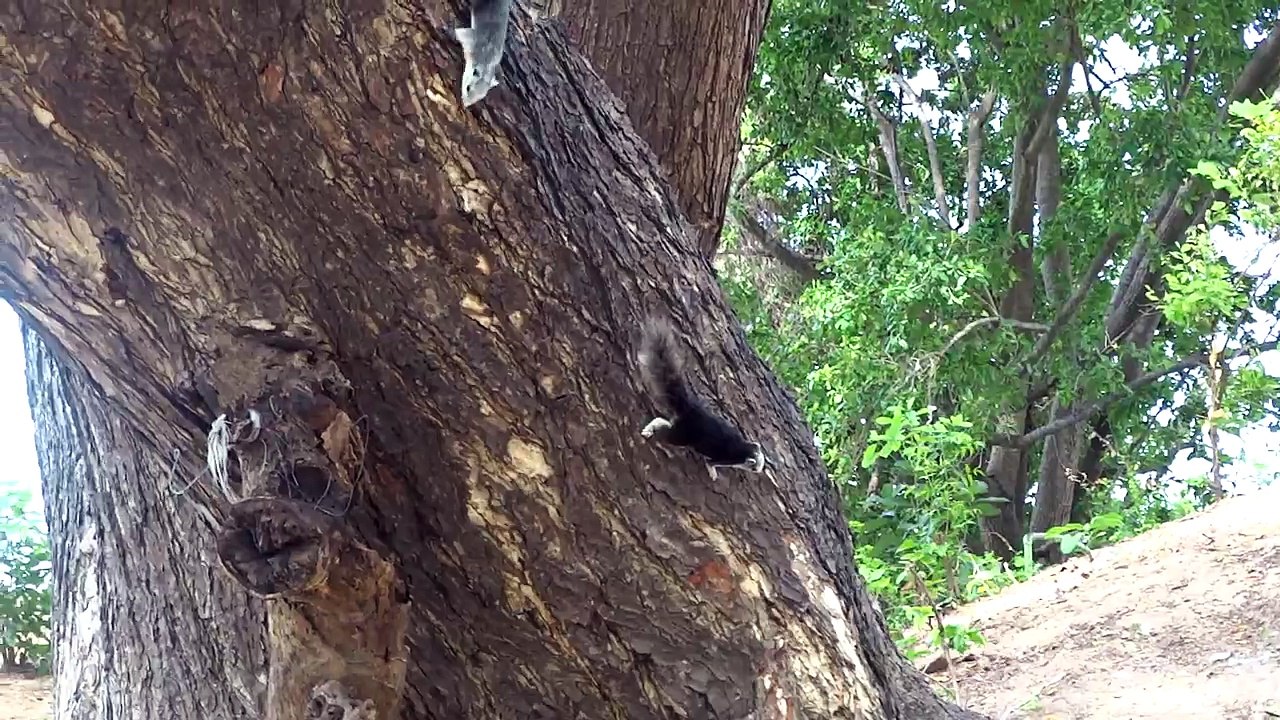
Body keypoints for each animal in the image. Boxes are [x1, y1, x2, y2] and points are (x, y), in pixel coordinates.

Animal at [638, 318, 767, 479]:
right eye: (755, 467)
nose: (760, 470)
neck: (745, 447)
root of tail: (690, 409)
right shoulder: (727, 459)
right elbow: (712, 463)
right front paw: (712, 472)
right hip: (681, 435)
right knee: (662, 424)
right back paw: (649, 429)